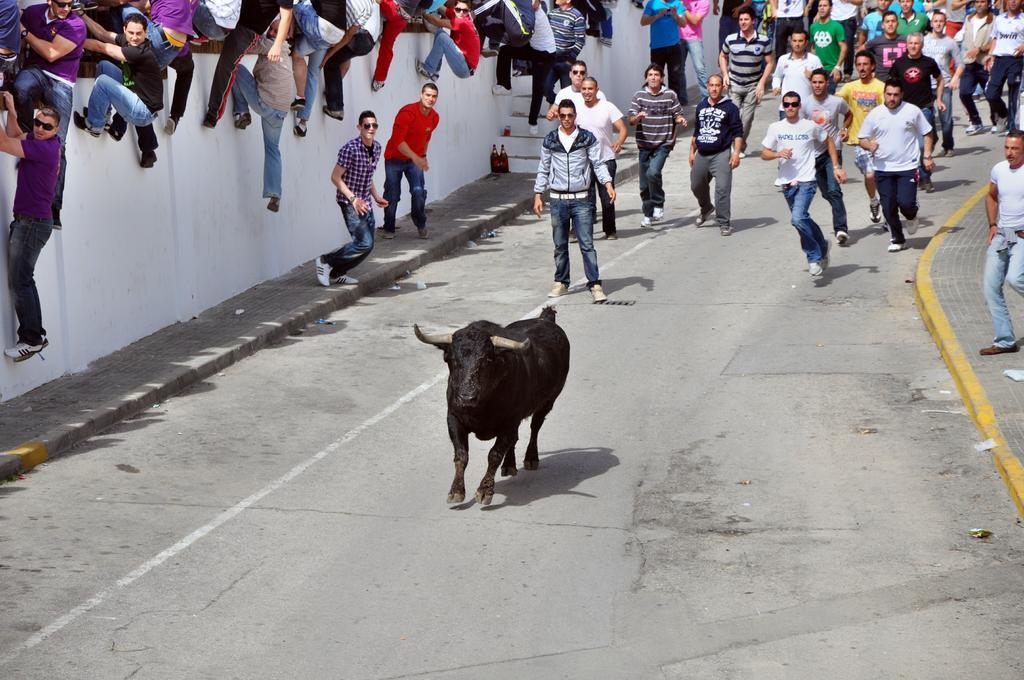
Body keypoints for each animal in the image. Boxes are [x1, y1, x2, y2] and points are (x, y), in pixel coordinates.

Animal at [413, 307, 573, 503]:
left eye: (487, 359)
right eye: (450, 359)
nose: (466, 397)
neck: (481, 407)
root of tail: (546, 319)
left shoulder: (509, 422)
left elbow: (494, 454)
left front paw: (484, 491)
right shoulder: (454, 418)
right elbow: (461, 454)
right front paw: (456, 491)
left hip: (547, 402)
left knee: (535, 427)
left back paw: (530, 458)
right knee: (515, 439)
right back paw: (509, 466)